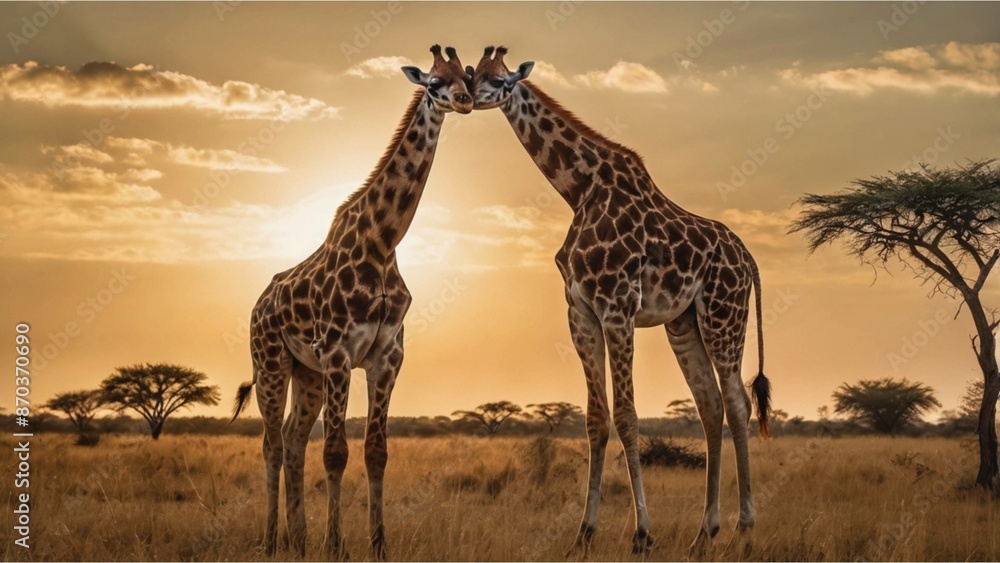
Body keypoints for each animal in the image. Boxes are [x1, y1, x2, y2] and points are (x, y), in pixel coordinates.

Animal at [230, 45, 473, 560]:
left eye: (465, 77)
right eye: (433, 82)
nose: (463, 100)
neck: (382, 244)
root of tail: (259, 305)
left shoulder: (387, 357)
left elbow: (376, 451)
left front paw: (377, 544)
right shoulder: (340, 353)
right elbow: (336, 451)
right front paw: (336, 545)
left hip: (307, 373)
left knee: (292, 438)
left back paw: (298, 540)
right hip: (271, 362)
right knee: (271, 444)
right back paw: (271, 540)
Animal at [469, 46, 772, 555]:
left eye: (503, 80)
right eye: (475, 75)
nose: (471, 98)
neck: (579, 190)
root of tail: (748, 259)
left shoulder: (618, 307)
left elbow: (628, 417)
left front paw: (641, 534)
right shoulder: (581, 314)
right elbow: (596, 419)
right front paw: (583, 535)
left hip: (725, 315)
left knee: (737, 404)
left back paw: (745, 529)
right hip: (684, 324)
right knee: (710, 407)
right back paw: (703, 533)